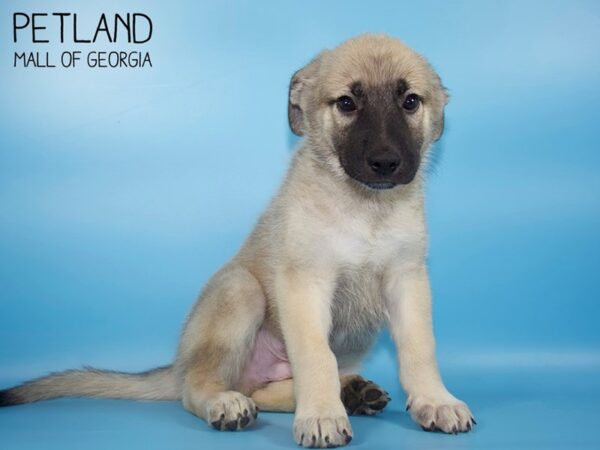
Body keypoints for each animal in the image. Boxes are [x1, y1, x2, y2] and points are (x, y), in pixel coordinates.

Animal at [1, 34, 478, 446]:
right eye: (346, 103)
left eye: (410, 101)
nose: (385, 162)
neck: (364, 209)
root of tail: (178, 364)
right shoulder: (305, 283)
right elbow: (315, 357)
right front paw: (322, 415)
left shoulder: (407, 280)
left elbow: (419, 349)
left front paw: (435, 400)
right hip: (240, 291)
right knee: (200, 387)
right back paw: (234, 402)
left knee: (264, 390)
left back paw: (350, 392)